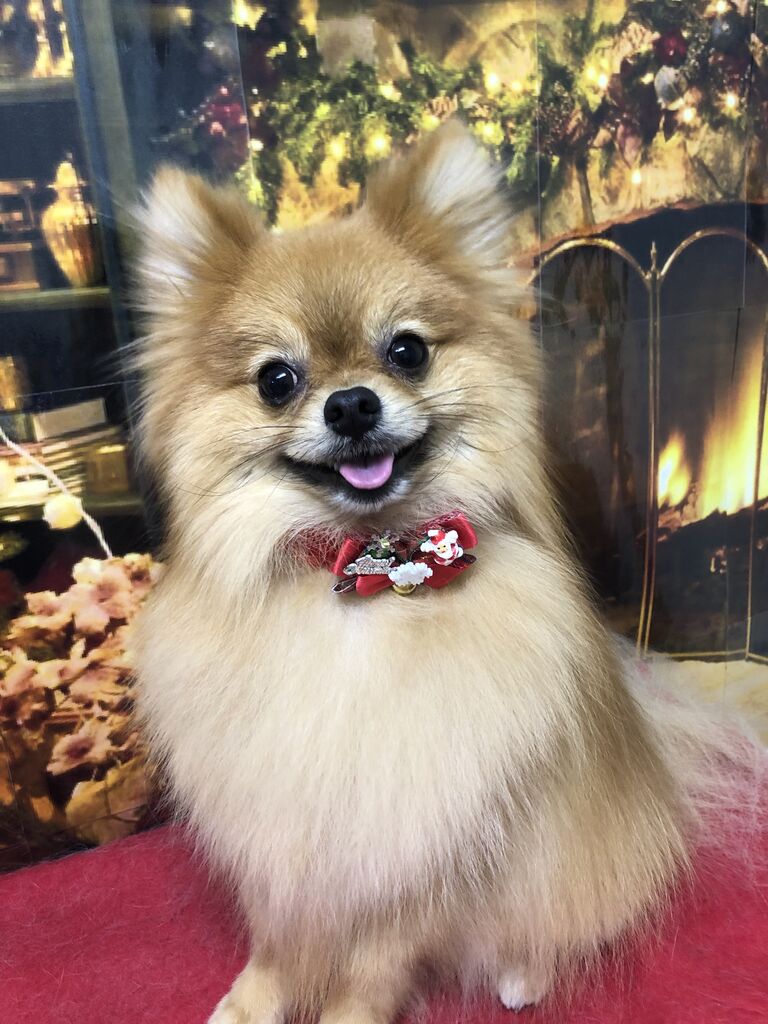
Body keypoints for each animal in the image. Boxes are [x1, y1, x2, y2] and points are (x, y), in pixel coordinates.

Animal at [134, 121, 762, 1023]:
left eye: (408, 351)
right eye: (275, 379)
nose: (351, 404)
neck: (366, 574)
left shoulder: (424, 838)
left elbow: (372, 966)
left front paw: (345, 1013)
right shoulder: (277, 821)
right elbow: (278, 944)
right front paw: (249, 1004)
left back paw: (523, 973)